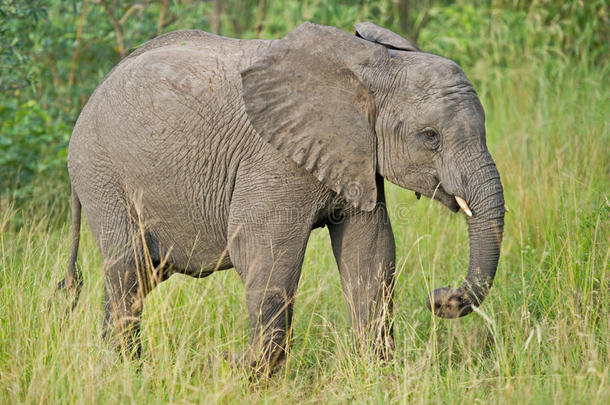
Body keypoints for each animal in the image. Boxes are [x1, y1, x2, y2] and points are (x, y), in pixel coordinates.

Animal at [60, 22, 504, 372]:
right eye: (430, 137)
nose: (440, 297)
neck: (372, 63)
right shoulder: (273, 157)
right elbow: (266, 252)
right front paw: (239, 371)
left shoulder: (357, 155)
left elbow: (371, 253)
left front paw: (379, 373)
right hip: (101, 172)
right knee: (129, 268)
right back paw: (127, 371)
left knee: (143, 274)